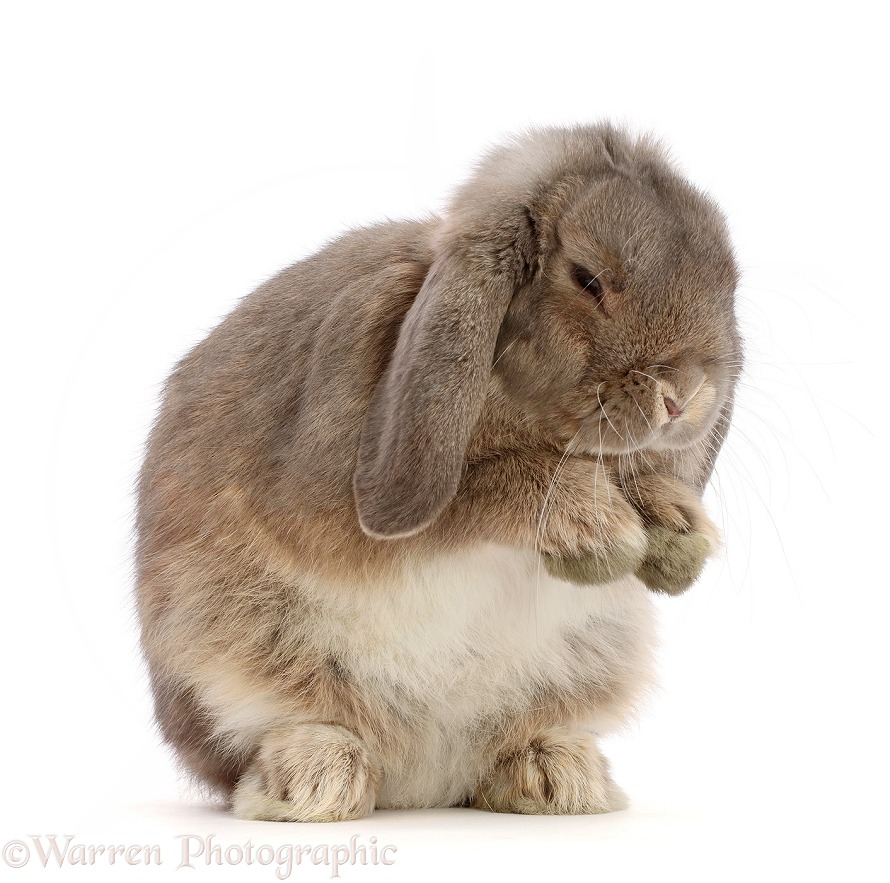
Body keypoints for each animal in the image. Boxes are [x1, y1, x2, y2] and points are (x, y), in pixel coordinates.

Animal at [135, 122, 740, 820]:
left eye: (727, 284)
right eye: (587, 278)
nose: (685, 396)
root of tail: (423, 782)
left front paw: (679, 534)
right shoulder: (354, 506)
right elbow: (488, 487)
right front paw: (602, 533)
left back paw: (557, 777)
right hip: (227, 650)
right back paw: (315, 782)